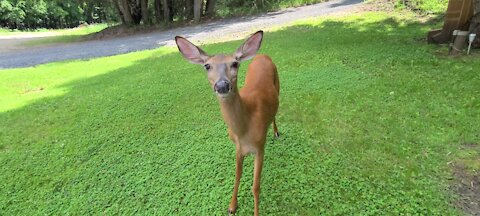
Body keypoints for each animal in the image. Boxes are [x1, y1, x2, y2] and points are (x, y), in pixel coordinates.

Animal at [174, 30, 280, 216]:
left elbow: (255, 187)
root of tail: (262, 55)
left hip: (279, 83)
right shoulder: (238, 148)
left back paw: (276, 132)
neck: (244, 129)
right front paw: (232, 206)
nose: (222, 85)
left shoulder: (260, 147)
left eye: (235, 64)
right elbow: (237, 176)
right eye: (207, 66)